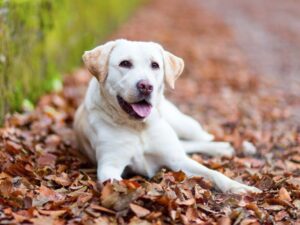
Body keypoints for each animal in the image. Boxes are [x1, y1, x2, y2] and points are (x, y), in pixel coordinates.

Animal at [74, 39, 262, 194]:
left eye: (155, 65)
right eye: (125, 63)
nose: (146, 86)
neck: (139, 127)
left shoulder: (177, 160)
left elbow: (213, 172)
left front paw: (238, 187)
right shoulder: (109, 167)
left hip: (184, 124)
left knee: (204, 137)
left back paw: (237, 146)